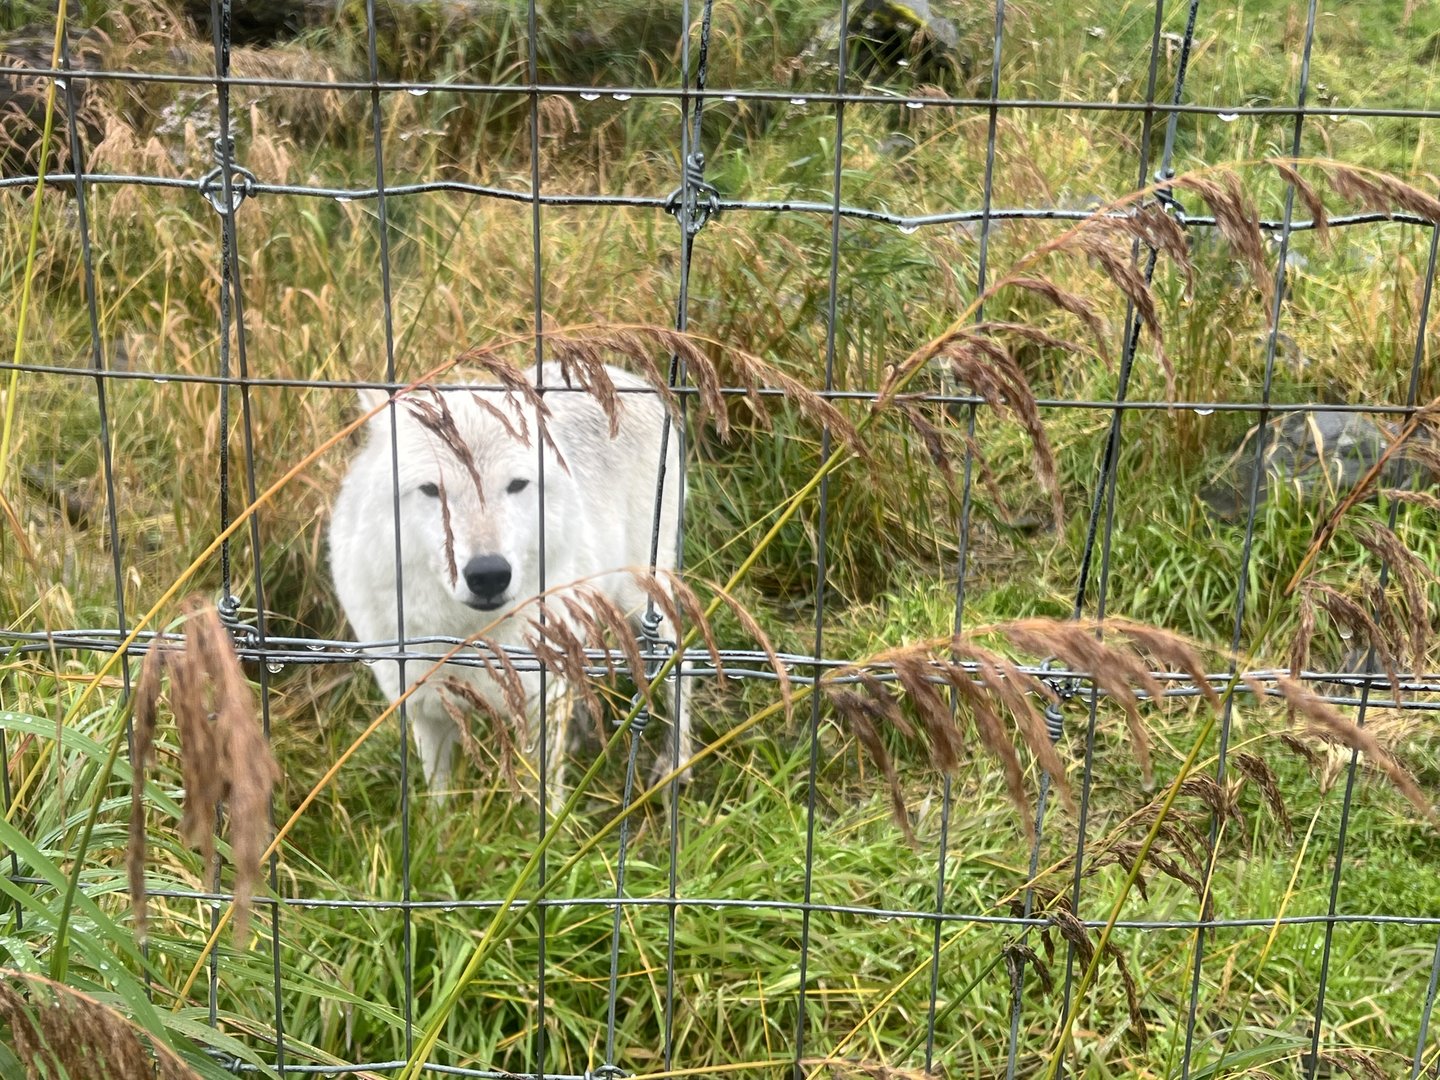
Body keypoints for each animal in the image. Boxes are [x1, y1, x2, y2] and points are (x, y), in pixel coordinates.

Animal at [327, 362, 690, 800]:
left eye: (516, 485)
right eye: (432, 490)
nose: (488, 574)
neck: (465, 637)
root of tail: (628, 378)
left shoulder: (539, 704)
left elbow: (543, 795)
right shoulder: (425, 708)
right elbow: (438, 796)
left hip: (639, 598)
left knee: (681, 659)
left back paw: (676, 764)